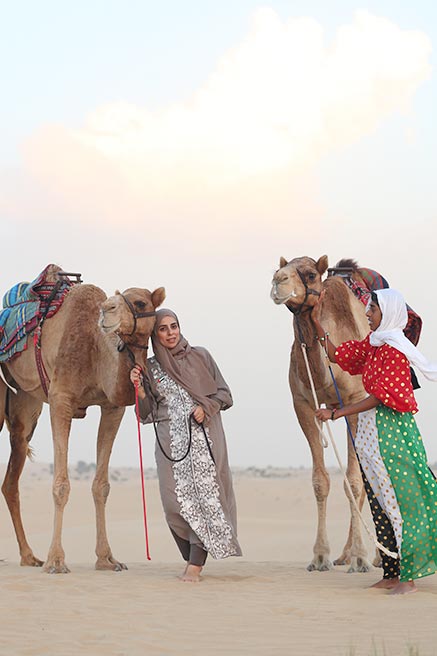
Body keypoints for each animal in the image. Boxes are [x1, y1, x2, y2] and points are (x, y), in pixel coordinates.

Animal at [0, 266, 164, 576]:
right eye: (118, 297)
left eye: (140, 303)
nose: (107, 311)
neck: (97, 350)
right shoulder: (61, 399)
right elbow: (61, 484)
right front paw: (55, 561)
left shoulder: (112, 407)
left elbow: (101, 485)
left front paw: (107, 559)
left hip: (24, 403)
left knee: (12, 475)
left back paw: (29, 556)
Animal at [270, 254, 372, 572]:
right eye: (278, 269)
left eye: (311, 274)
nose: (278, 280)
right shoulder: (303, 404)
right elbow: (320, 481)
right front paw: (320, 556)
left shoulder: (355, 401)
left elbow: (353, 481)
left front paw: (361, 558)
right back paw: (344, 554)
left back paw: (373, 556)